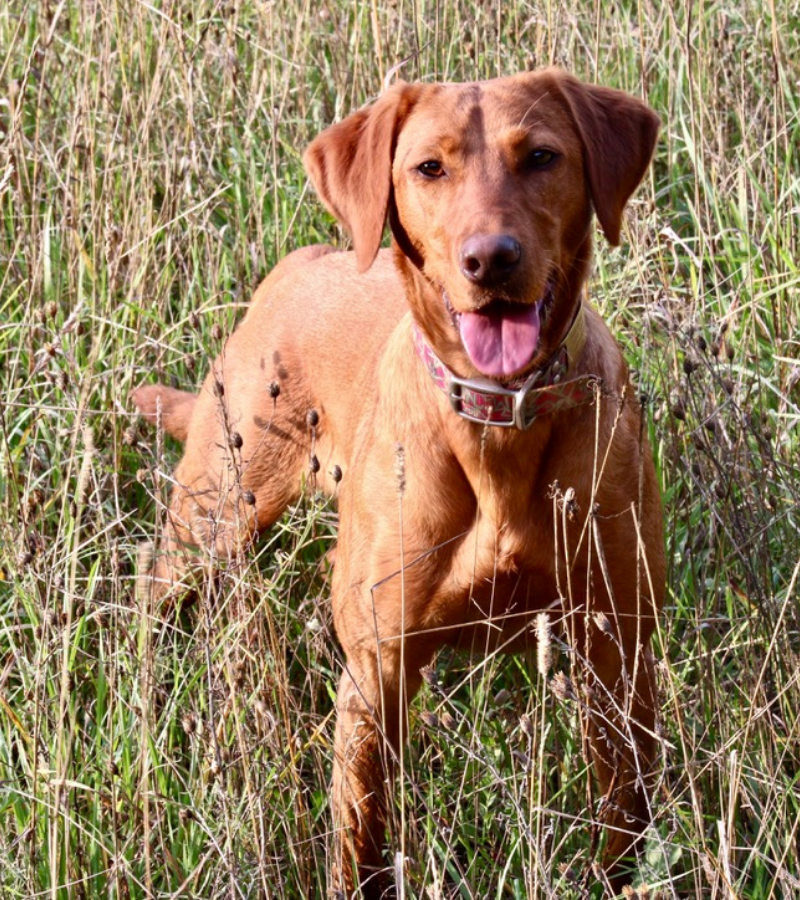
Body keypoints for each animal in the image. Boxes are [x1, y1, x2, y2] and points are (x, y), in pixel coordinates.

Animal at [134, 68, 664, 892]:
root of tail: (307, 262)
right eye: (429, 168)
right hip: (214, 512)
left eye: (542, 157)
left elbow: (623, 806)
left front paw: (618, 876)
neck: (496, 424)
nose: (490, 258)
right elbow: (359, 832)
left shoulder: (618, 645)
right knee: (154, 591)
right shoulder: (376, 667)